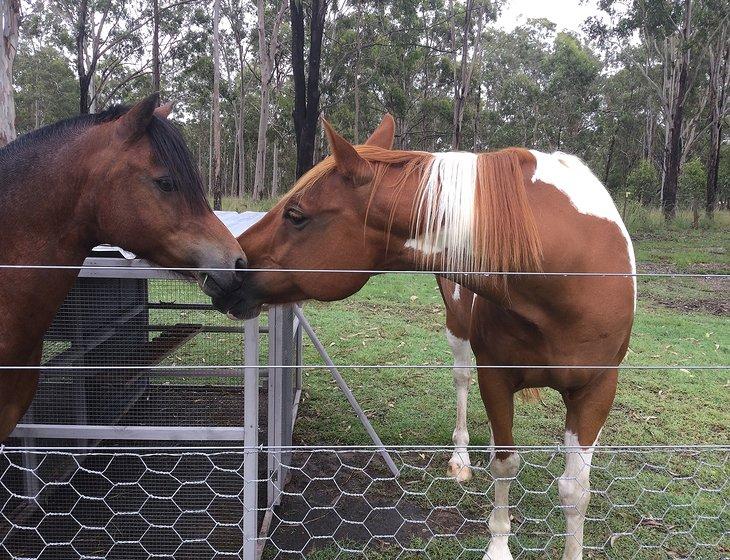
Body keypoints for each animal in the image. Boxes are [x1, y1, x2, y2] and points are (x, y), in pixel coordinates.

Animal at [219, 115, 636, 560]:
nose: (228, 268)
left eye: (296, 215)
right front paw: (498, 545)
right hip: (459, 332)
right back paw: (462, 457)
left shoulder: (596, 390)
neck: (562, 272)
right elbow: (505, 464)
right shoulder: (496, 375)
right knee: (463, 383)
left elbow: (575, 491)